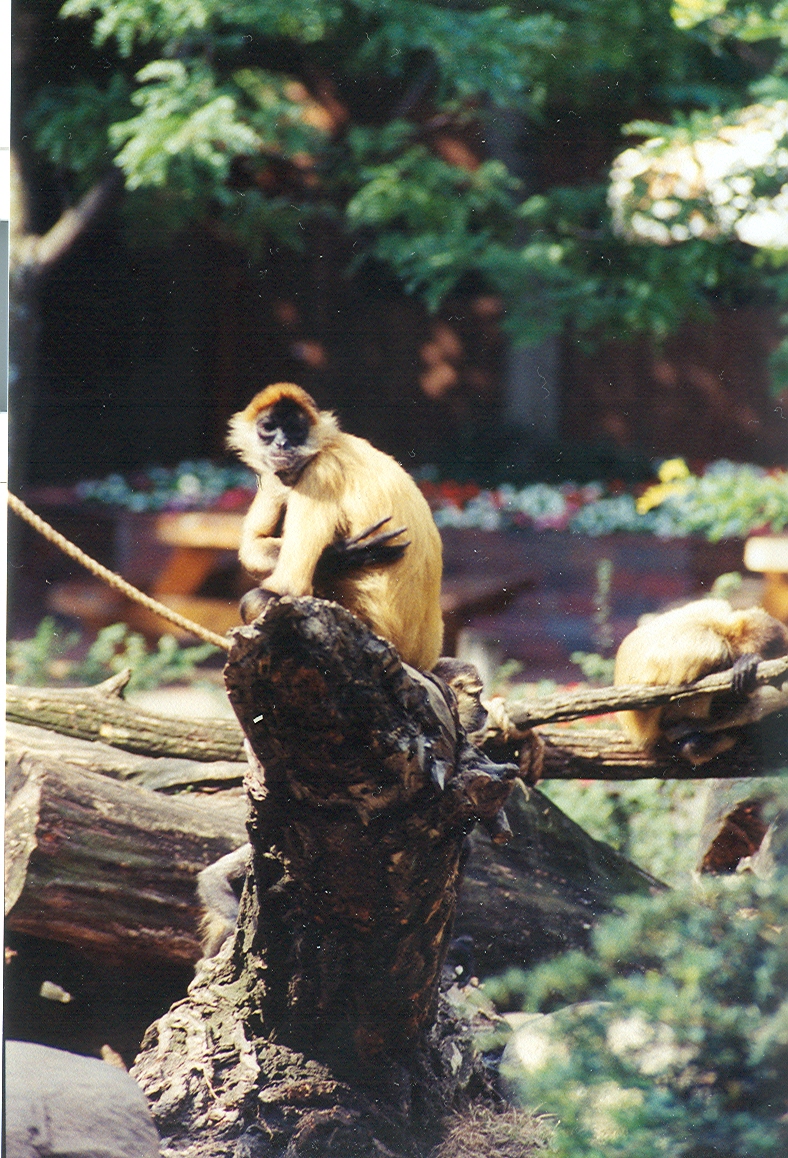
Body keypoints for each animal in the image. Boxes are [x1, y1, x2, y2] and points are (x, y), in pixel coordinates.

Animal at [227, 383, 444, 670]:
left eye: (295, 429)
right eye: (269, 427)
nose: (282, 443)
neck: (327, 445)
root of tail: (423, 657)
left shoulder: (320, 472)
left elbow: (289, 587)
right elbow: (254, 545)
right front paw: (339, 555)